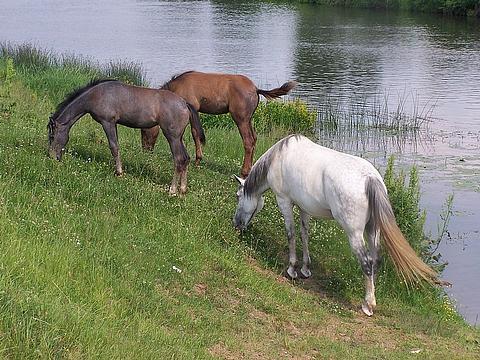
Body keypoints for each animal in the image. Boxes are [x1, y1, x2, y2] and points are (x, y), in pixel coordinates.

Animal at [48, 79, 204, 194]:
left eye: (52, 136)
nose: (52, 157)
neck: (97, 94)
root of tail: (184, 103)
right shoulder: (113, 124)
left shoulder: (108, 122)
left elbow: (114, 147)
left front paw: (119, 172)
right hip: (179, 138)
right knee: (185, 159)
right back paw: (182, 189)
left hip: (172, 137)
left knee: (179, 159)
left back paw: (172, 190)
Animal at [140, 71, 296, 177]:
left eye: (144, 130)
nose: (145, 150)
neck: (176, 88)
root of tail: (256, 89)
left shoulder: (192, 108)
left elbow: (195, 133)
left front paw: (198, 160)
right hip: (249, 118)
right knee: (255, 138)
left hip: (240, 118)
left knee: (248, 141)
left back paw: (244, 172)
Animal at [232, 134, 442, 316]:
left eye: (238, 195)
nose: (237, 225)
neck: (278, 157)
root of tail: (370, 179)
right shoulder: (304, 207)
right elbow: (304, 234)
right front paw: (305, 268)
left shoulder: (284, 201)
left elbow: (290, 233)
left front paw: (292, 269)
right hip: (372, 230)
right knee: (375, 261)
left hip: (354, 234)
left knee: (366, 263)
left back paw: (368, 305)